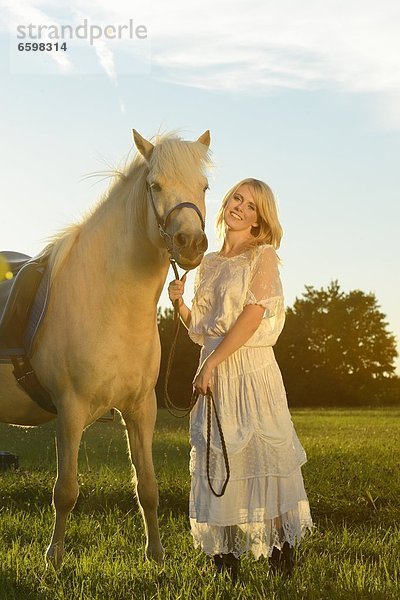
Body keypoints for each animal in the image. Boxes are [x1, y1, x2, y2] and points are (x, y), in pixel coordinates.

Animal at [0, 129, 212, 568]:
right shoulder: (70, 409)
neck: (110, 302)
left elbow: (148, 487)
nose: (191, 244)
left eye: (204, 187)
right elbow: (65, 491)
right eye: (155, 185)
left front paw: (156, 554)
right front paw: (54, 557)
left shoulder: (141, 409)